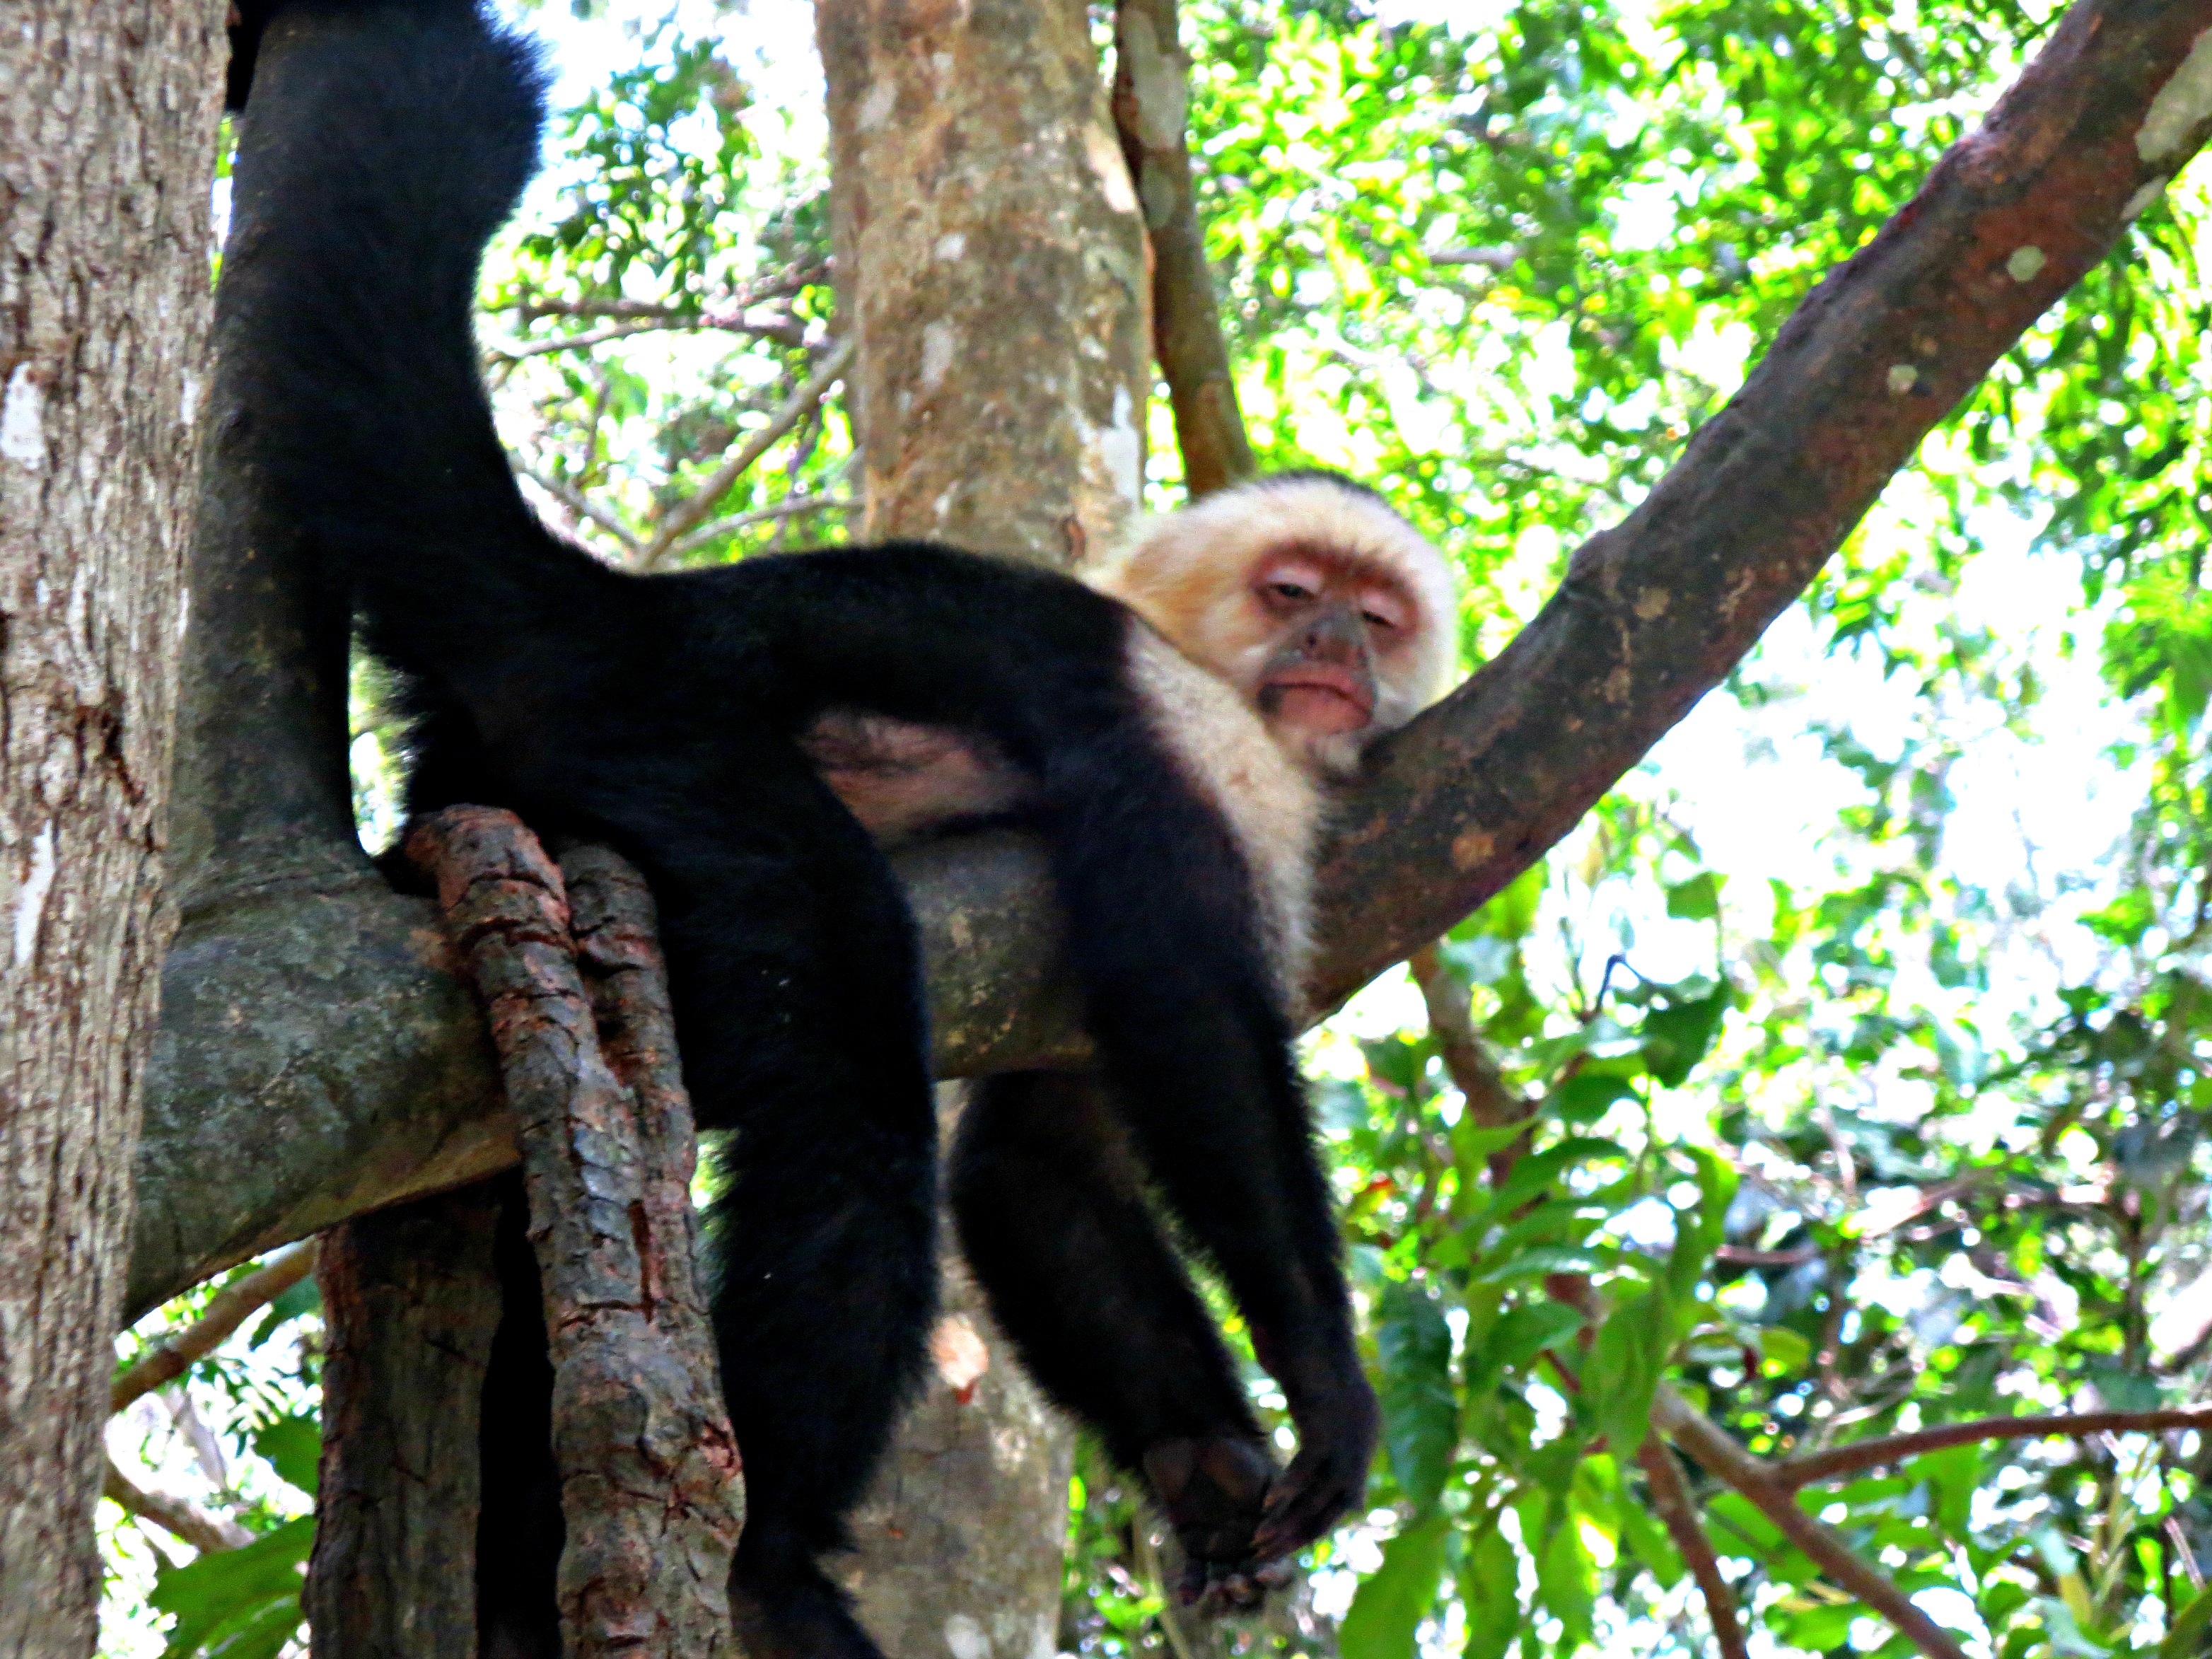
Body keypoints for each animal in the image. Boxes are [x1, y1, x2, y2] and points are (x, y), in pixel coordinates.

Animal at [223, 3, 1390, 1653]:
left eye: (1377, 611)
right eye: (1295, 591)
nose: (1338, 654)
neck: (1229, 692)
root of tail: (604, 607)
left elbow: (1038, 1163)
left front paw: (1203, 1466)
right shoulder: (1195, 742)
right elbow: (1189, 1029)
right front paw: (1324, 1384)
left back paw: (519, 1567)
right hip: (658, 743)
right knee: (844, 1052)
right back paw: (763, 1561)